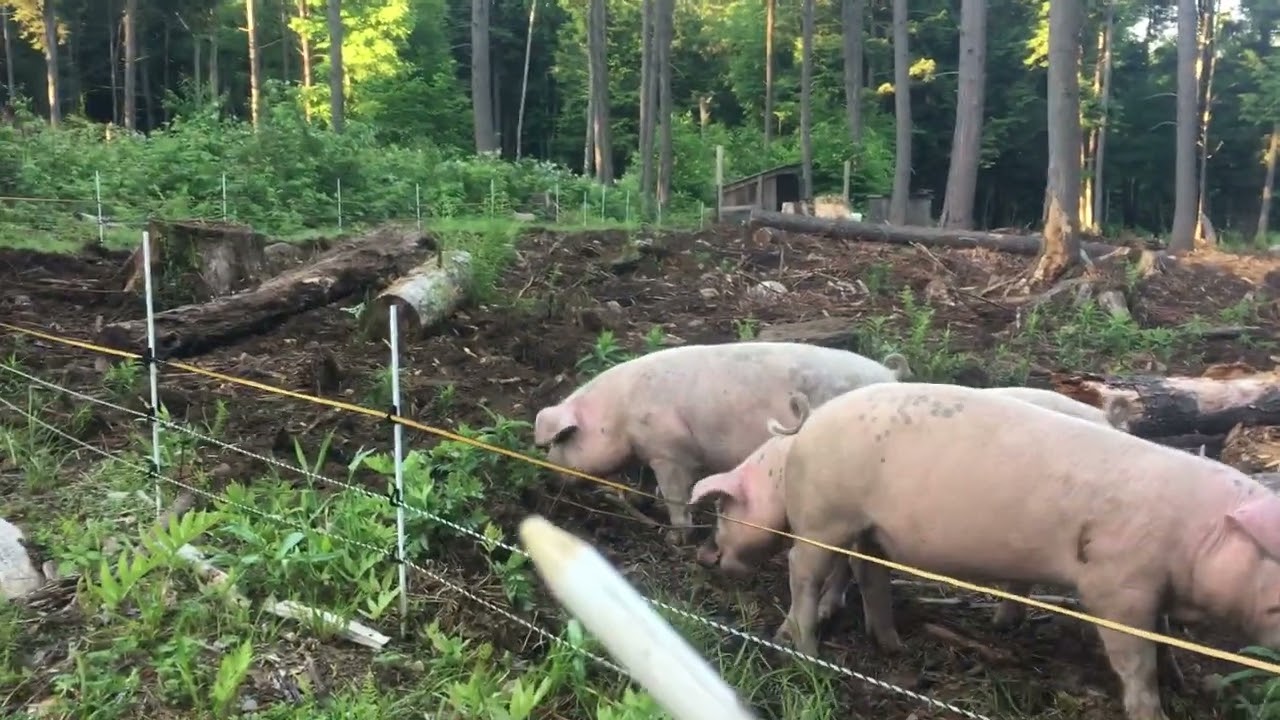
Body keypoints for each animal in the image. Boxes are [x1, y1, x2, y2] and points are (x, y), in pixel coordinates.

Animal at [532, 342, 910, 544]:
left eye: (562, 439)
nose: (548, 479)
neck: (619, 416)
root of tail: (890, 373)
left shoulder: (669, 452)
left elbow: (675, 494)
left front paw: (674, 537)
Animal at [704, 381, 1280, 720]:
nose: (709, 558)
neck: (1197, 538)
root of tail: (813, 424)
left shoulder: (1149, 592)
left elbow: (1161, 643)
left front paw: (1182, 684)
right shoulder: (1117, 587)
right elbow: (1135, 663)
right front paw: (1154, 713)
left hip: (864, 528)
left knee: (866, 577)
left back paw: (892, 647)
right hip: (830, 516)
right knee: (804, 572)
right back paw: (807, 650)